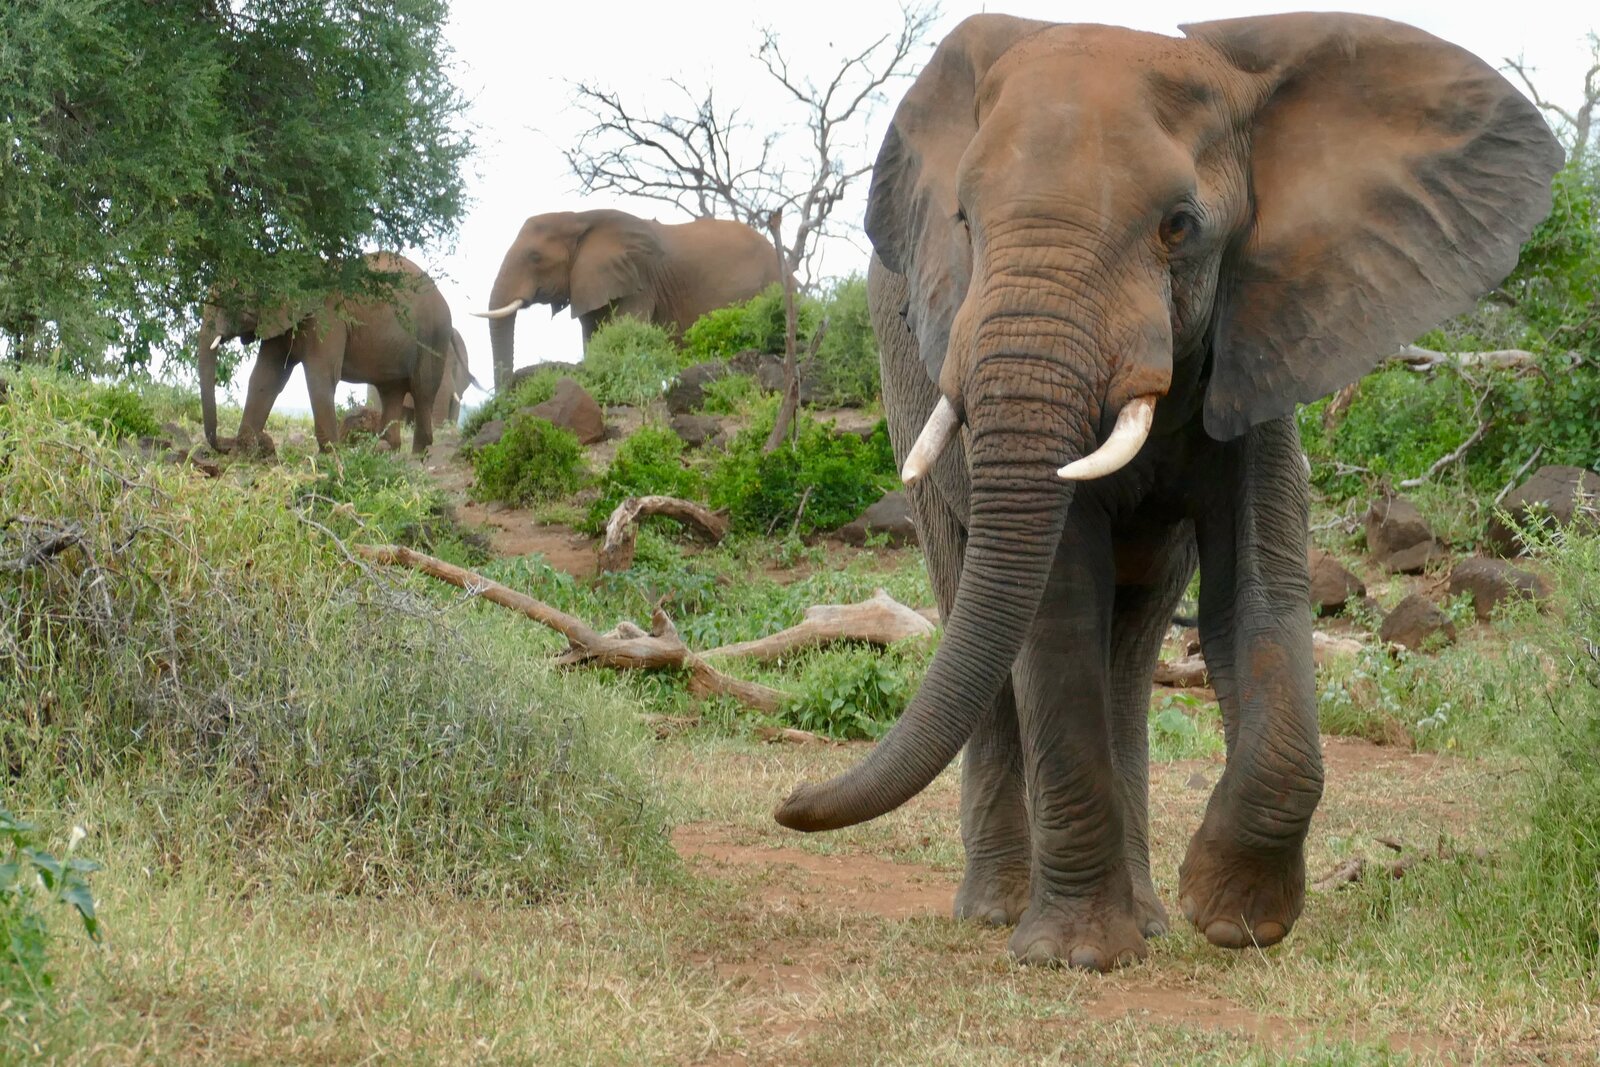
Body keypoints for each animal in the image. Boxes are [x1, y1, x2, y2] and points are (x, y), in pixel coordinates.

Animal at [198, 253, 453, 454]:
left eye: (235, 298)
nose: (223, 444)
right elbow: (266, 376)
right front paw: (244, 451)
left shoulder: (327, 319)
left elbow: (321, 375)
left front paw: (330, 455)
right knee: (391, 390)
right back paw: (386, 449)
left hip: (434, 335)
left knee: (422, 390)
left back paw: (417, 456)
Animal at [772, 13, 1560, 971]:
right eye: (963, 221)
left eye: (1179, 226)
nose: (785, 801)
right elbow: (1058, 604)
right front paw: (1075, 955)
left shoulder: (1261, 338)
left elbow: (1256, 597)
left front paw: (1227, 916)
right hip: (905, 392)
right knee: (978, 612)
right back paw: (999, 911)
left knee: (1134, 642)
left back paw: (1142, 913)